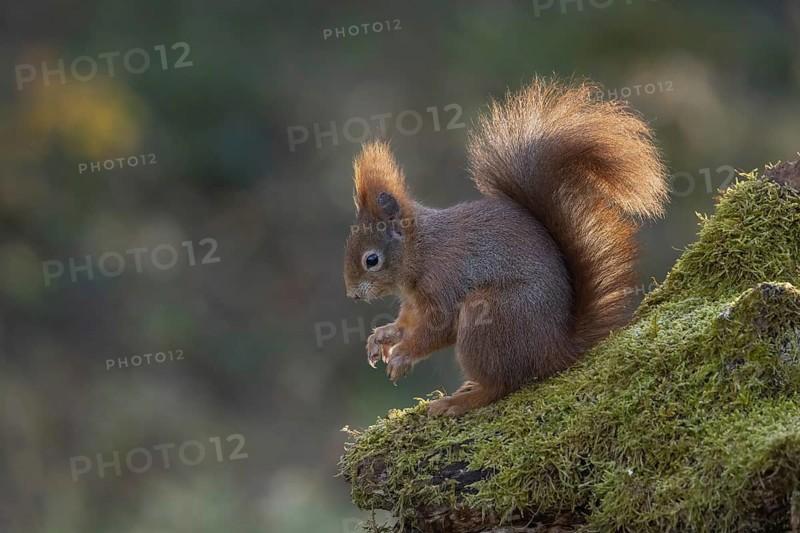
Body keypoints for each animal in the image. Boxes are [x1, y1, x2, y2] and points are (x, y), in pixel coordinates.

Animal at [343, 77, 668, 417]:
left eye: (371, 260)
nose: (352, 294)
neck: (422, 251)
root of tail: (553, 349)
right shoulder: (414, 302)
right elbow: (407, 323)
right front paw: (382, 336)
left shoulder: (446, 280)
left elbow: (438, 328)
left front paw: (403, 354)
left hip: (490, 315)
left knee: (501, 385)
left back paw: (458, 402)